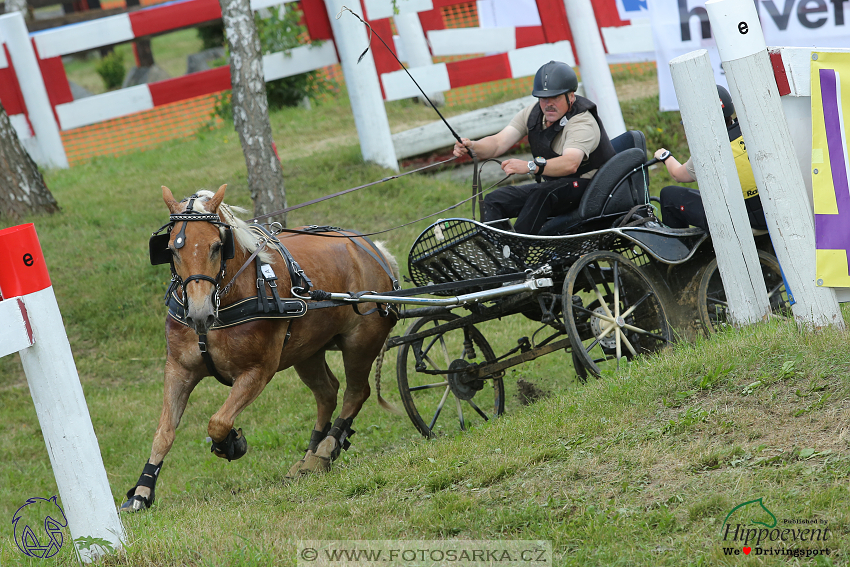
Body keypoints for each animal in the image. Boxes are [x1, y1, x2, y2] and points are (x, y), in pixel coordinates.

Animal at [118, 186, 398, 516]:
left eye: (217, 247)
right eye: (172, 251)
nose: (199, 314)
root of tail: (372, 249)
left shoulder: (257, 372)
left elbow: (219, 421)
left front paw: (229, 443)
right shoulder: (178, 369)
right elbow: (164, 432)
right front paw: (142, 492)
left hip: (359, 343)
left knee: (356, 393)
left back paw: (325, 450)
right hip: (307, 352)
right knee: (328, 393)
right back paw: (310, 455)